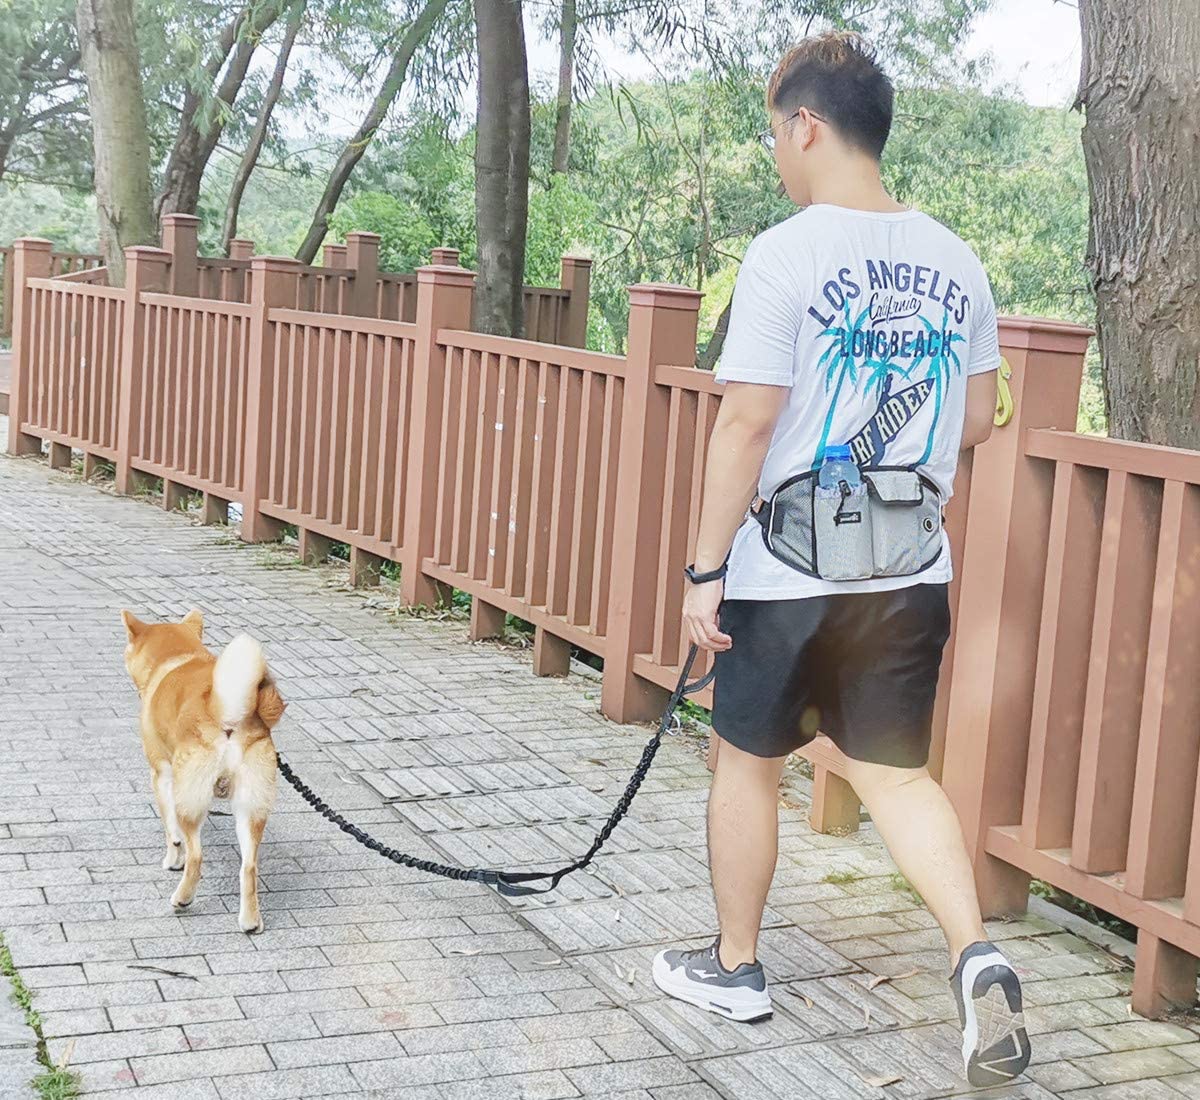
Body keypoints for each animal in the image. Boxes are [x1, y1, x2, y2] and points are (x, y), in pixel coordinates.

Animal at [121, 609, 285, 926]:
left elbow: (172, 835)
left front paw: (172, 861)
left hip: (190, 800)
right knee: (249, 868)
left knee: (196, 856)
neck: (178, 657)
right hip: (250, 808)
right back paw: (249, 922)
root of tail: (229, 717)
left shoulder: (162, 775)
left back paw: (182, 898)